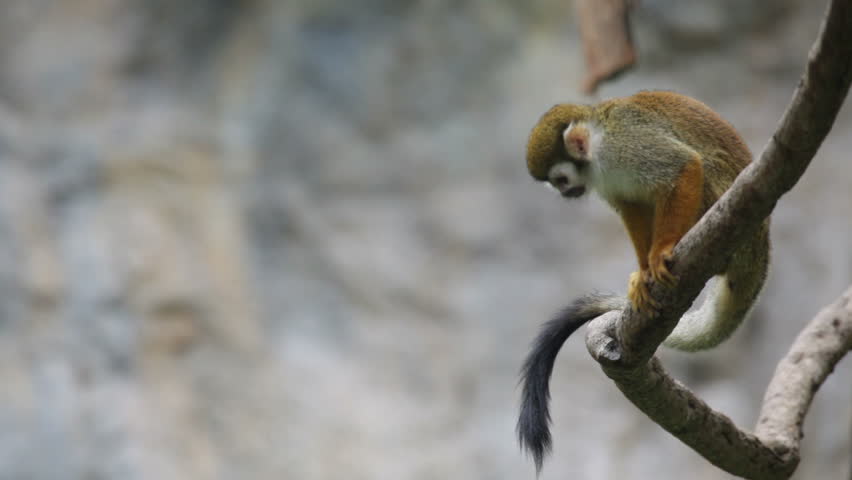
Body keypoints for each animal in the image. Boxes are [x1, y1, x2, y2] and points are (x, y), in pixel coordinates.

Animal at [517, 91, 770, 472]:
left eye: (560, 180)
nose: (565, 194)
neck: (597, 150)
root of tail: (760, 251)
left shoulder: (627, 144)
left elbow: (684, 167)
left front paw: (661, 251)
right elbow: (631, 205)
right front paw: (642, 273)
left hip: (737, 231)